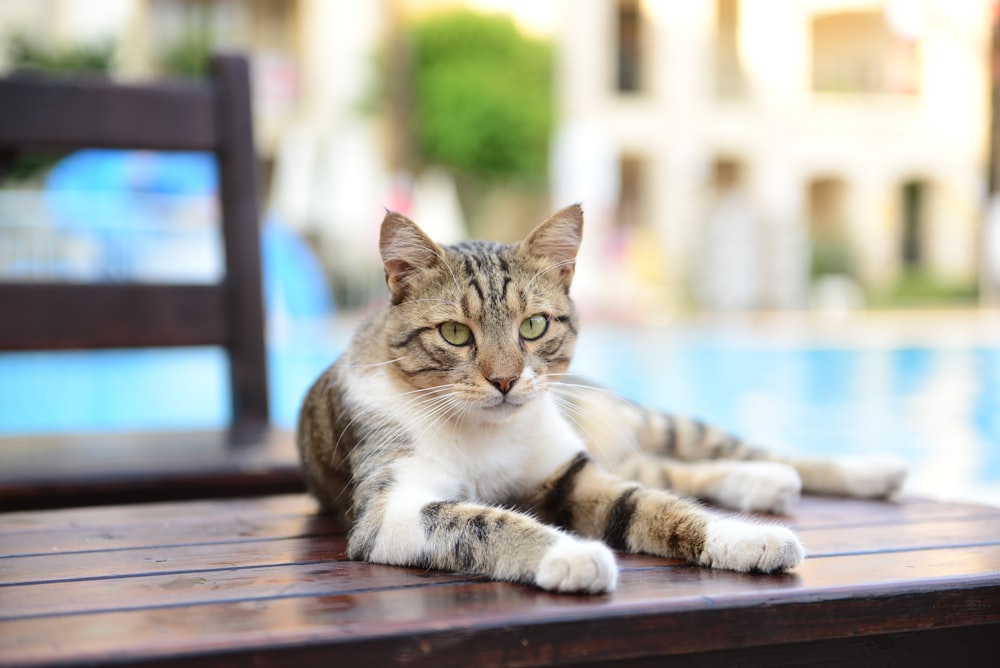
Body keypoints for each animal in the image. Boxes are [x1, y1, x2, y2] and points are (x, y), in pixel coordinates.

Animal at [298, 206, 908, 592]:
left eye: (534, 325)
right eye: (454, 334)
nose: (505, 380)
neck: (485, 431)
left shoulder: (570, 472)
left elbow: (652, 505)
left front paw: (744, 538)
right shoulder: (391, 510)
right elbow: (482, 523)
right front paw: (570, 554)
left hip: (639, 420)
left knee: (712, 453)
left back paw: (868, 471)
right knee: (666, 467)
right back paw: (768, 484)